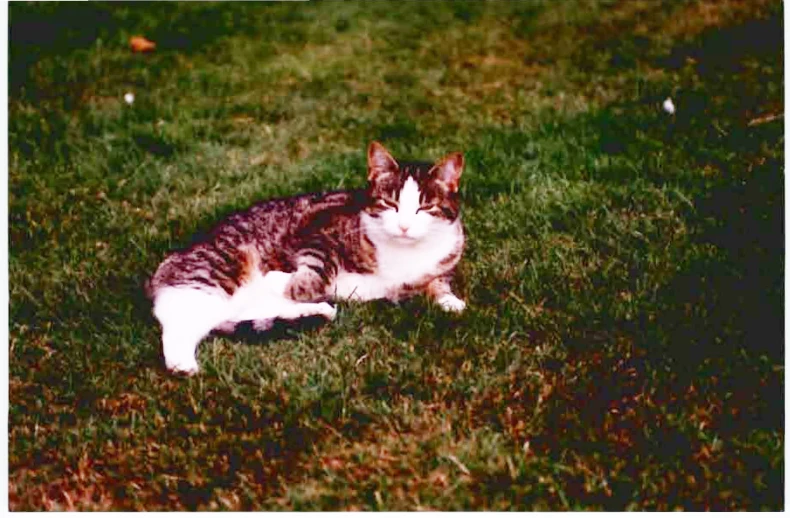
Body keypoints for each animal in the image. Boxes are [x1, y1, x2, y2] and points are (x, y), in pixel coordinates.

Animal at [148, 142, 468, 376]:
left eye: (425, 207)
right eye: (390, 203)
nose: (403, 226)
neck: (404, 252)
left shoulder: (444, 258)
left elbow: (437, 281)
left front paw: (449, 300)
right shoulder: (316, 233)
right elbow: (317, 272)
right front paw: (283, 278)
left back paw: (317, 310)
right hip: (215, 273)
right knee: (176, 320)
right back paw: (182, 362)